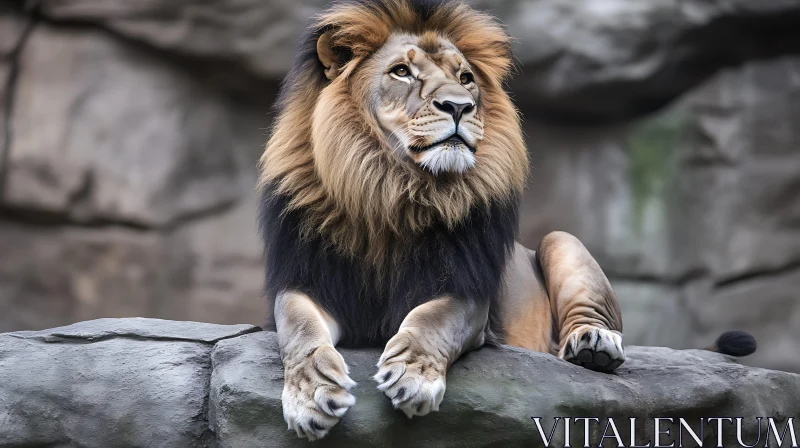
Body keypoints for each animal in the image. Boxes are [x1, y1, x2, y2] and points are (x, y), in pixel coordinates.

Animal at [257, 0, 757, 441]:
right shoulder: (304, 280)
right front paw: (311, 395)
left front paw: (413, 374)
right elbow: (299, 330)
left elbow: (433, 319)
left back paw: (593, 345)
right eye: (401, 71)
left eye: (465, 78)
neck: (390, 192)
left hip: (561, 241)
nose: (460, 106)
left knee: (590, 321)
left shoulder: (466, 290)